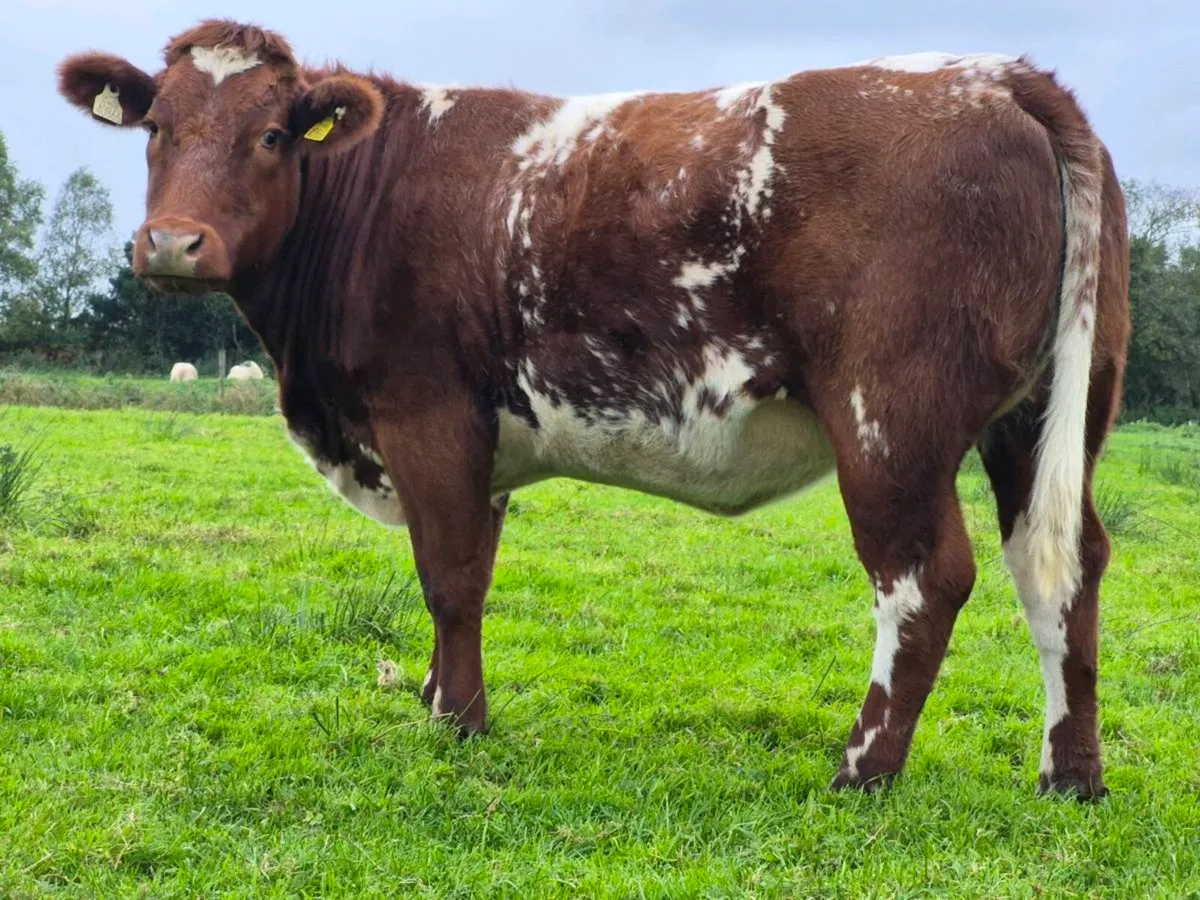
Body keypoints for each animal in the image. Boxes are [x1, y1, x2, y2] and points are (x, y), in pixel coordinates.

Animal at [56, 20, 1130, 797]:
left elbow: (449, 577)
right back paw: (1069, 777)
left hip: (891, 420)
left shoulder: (427, 413)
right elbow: (470, 569)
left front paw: (457, 722)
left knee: (924, 579)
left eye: (273, 135)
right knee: (1064, 566)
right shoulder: (481, 445)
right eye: (156, 130)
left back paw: (862, 769)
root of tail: (997, 76)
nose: (172, 243)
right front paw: (440, 695)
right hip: (1048, 415)